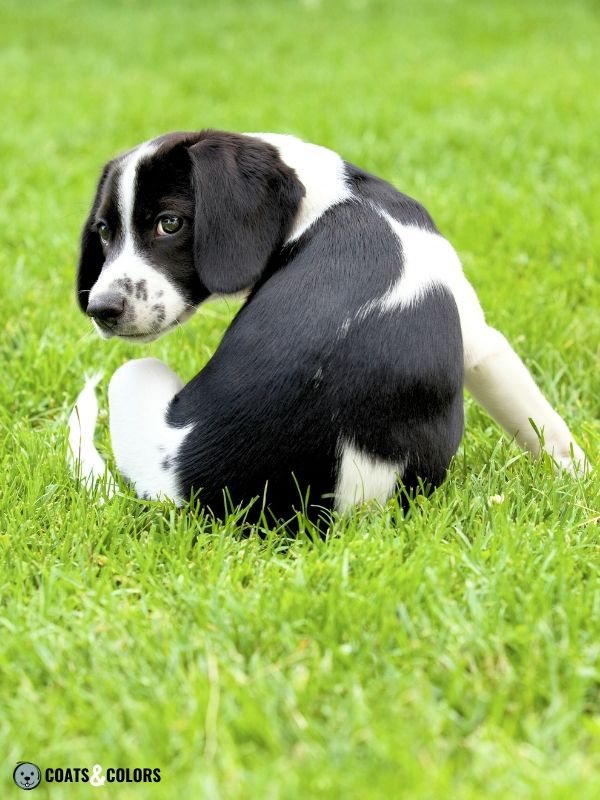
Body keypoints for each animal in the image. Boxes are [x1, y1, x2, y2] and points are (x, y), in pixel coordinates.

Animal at [70, 131, 584, 520]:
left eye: (170, 223)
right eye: (104, 232)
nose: (101, 308)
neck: (337, 195)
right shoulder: (480, 343)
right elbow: (547, 428)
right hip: (132, 373)